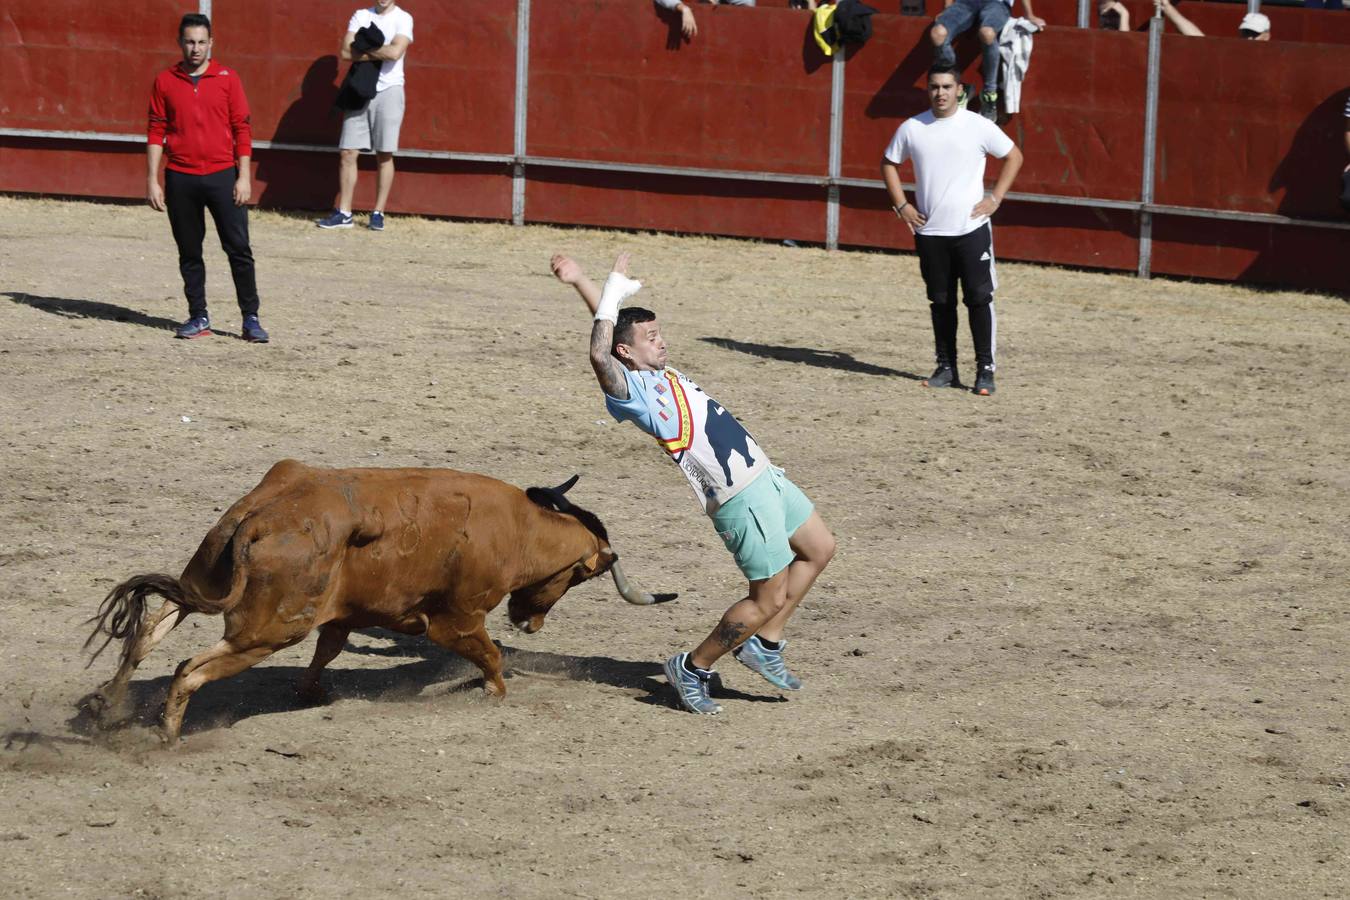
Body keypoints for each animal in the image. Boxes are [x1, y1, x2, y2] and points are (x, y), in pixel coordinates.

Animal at [83, 461, 664, 744]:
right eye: (576, 578)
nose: (531, 623)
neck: (516, 528)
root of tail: (262, 515)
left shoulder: (346, 615)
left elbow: (328, 650)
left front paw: (312, 692)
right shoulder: (456, 620)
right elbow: (489, 655)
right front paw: (493, 692)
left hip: (204, 586)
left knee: (147, 632)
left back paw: (110, 704)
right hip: (266, 632)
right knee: (188, 668)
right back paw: (167, 734)